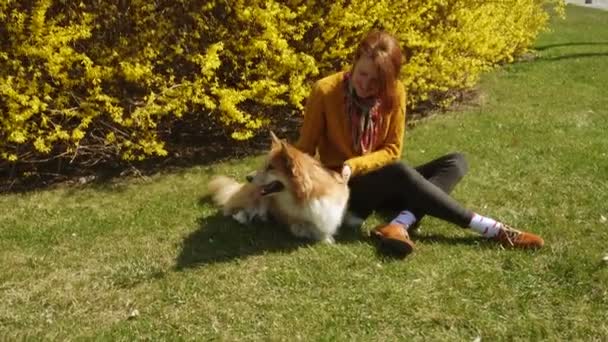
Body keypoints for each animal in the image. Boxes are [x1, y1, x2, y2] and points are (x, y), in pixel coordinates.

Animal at [207, 132, 350, 243]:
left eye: (270, 167)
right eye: (264, 165)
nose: (248, 177)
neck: (308, 194)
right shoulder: (295, 223)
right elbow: (308, 228)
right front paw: (326, 238)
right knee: (232, 210)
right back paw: (245, 217)